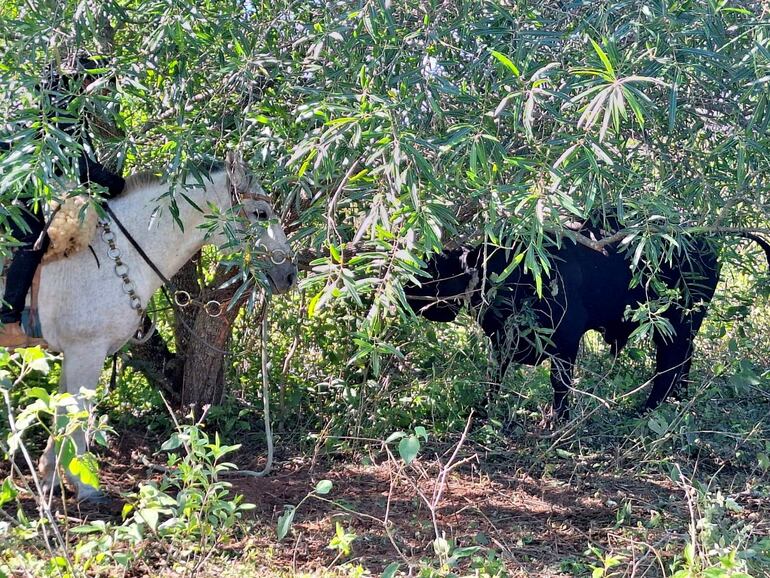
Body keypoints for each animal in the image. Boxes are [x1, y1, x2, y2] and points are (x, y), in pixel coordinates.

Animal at [31, 154, 294, 500]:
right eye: (260, 213)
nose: (289, 274)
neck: (116, 254)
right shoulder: (85, 351)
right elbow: (75, 415)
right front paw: (84, 486)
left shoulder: (75, 354)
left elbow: (62, 414)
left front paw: (50, 476)